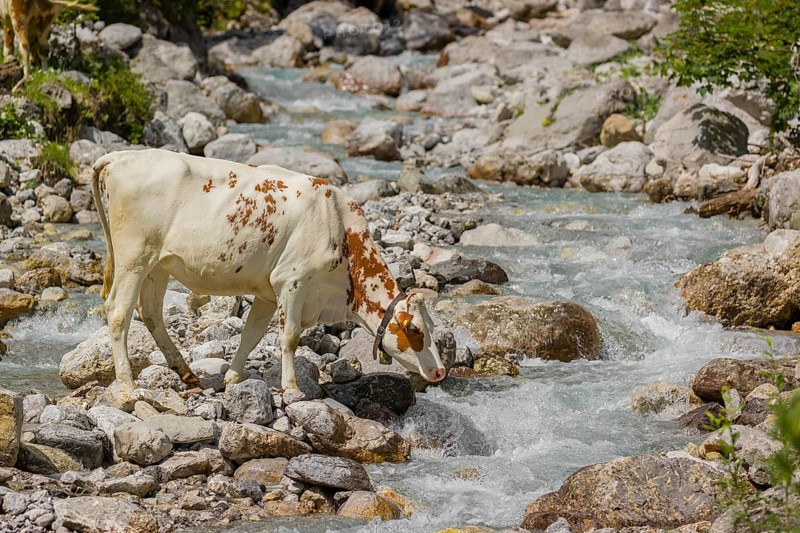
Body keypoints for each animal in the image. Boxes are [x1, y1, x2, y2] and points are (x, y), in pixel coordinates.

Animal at [91, 149, 447, 391]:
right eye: (415, 330)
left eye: (432, 327)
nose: (441, 372)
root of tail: (122, 155)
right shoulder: (292, 280)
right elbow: (289, 336)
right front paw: (291, 387)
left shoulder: (266, 293)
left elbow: (251, 335)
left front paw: (233, 377)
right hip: (134, 256)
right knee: (118, 311)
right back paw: (127, 386)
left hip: (158, 265)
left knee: (151, 312)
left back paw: (186, 372)